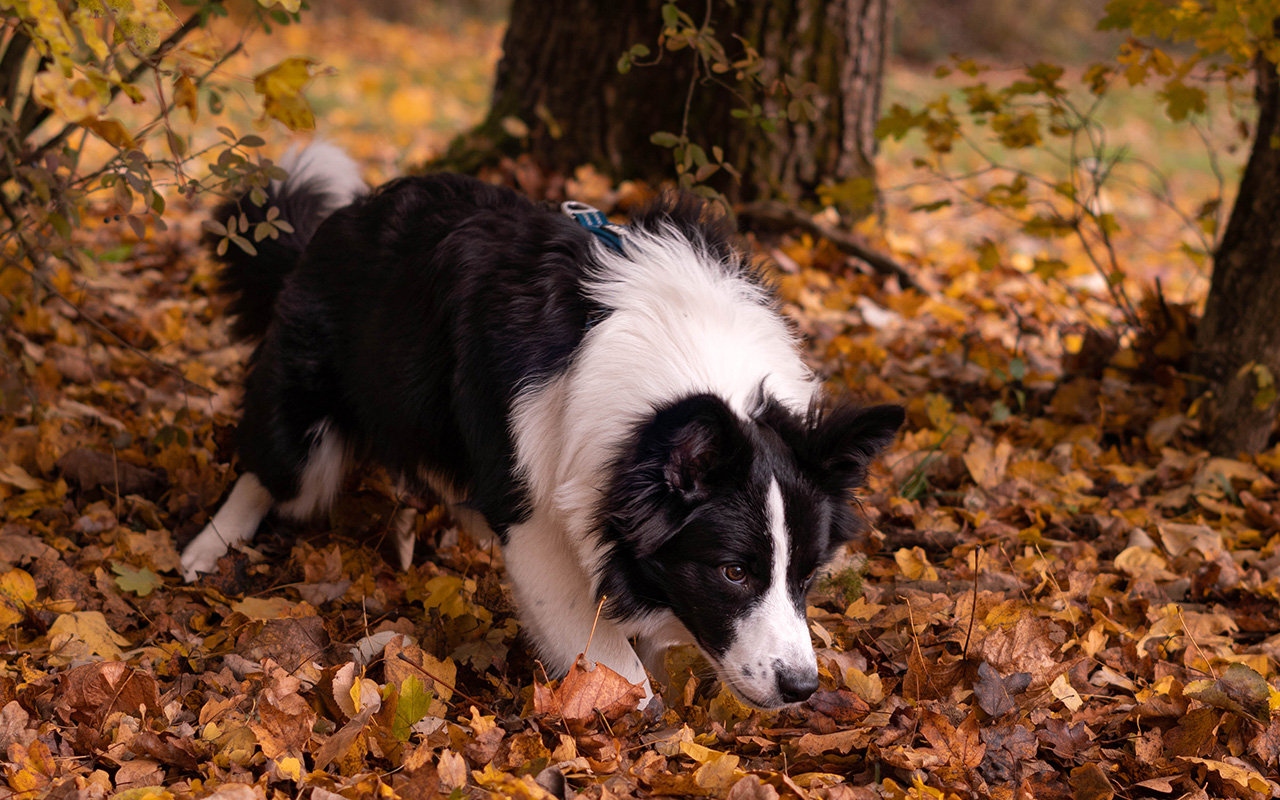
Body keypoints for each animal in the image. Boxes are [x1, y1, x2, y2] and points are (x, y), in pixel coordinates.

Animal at [180, 143, 906, 706]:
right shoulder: (538, 524)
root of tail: (335, 222)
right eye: (733, 573)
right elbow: (623, 675)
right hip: (311, 424)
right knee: (273, 468)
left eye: (807, 575)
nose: (801, 689)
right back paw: (210, 544)